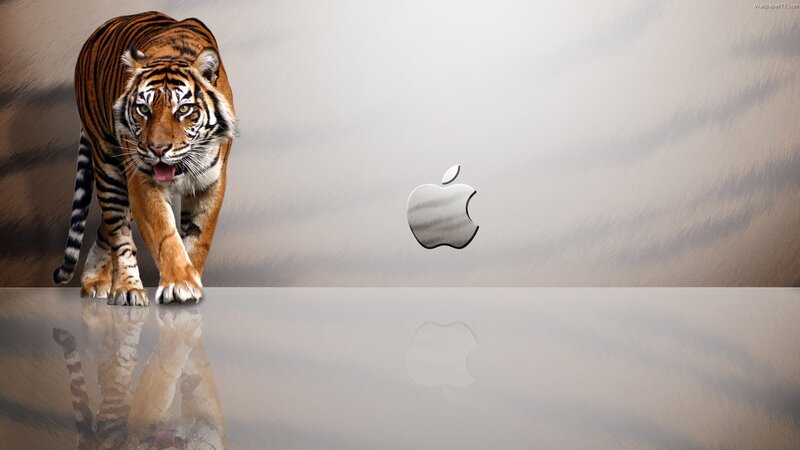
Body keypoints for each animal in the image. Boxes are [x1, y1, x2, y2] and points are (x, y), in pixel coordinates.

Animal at [51, 11, 236, 306]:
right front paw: (179, 283)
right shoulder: (141, 180)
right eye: (143, 109)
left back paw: (95, 279)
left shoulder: (212, 182)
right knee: (119, 232)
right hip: (108, 166)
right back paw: (125, 288)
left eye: (183, 109)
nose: (158, 149)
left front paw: (192, 278)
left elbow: (199, 238)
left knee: (107, 229)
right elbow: (165, 235)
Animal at [52, 303, 225, 449]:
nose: (177, 440)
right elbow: (200, 367)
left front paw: (181, 326)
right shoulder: (207, 413)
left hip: (118, 395)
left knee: (115, 361)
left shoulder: (140, 425)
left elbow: (164, 367)